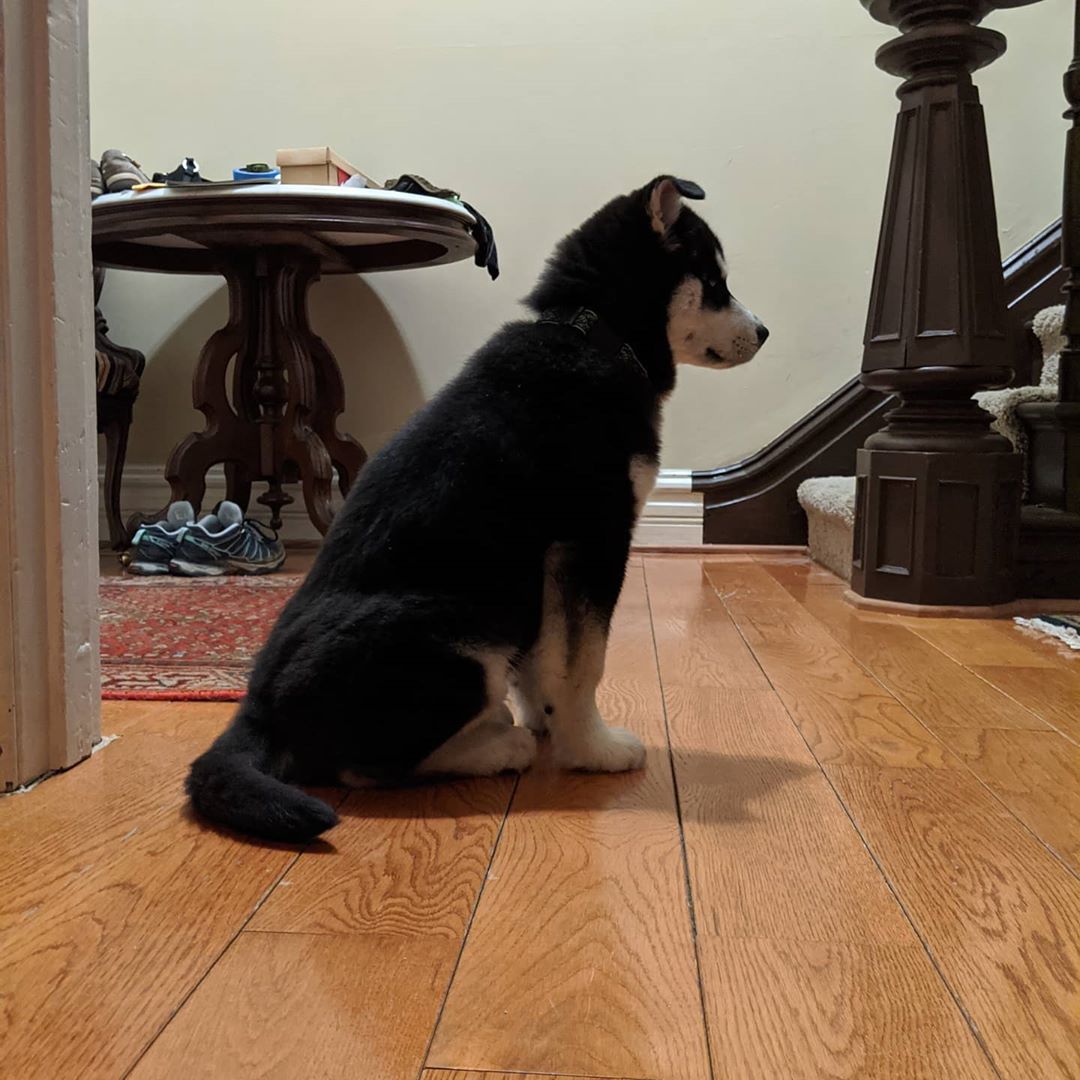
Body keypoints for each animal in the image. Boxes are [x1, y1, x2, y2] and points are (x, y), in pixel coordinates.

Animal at [187, 177, 768, 838]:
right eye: (715, 283)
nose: (764, 331)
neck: (595, 336)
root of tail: (257, 710)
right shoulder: (594, 536)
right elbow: (583, 663)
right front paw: (592, 749)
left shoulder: (549, 566)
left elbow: (547, 661)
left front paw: (550, 723)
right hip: (457, 641)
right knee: (364, 766)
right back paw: (497, 747)